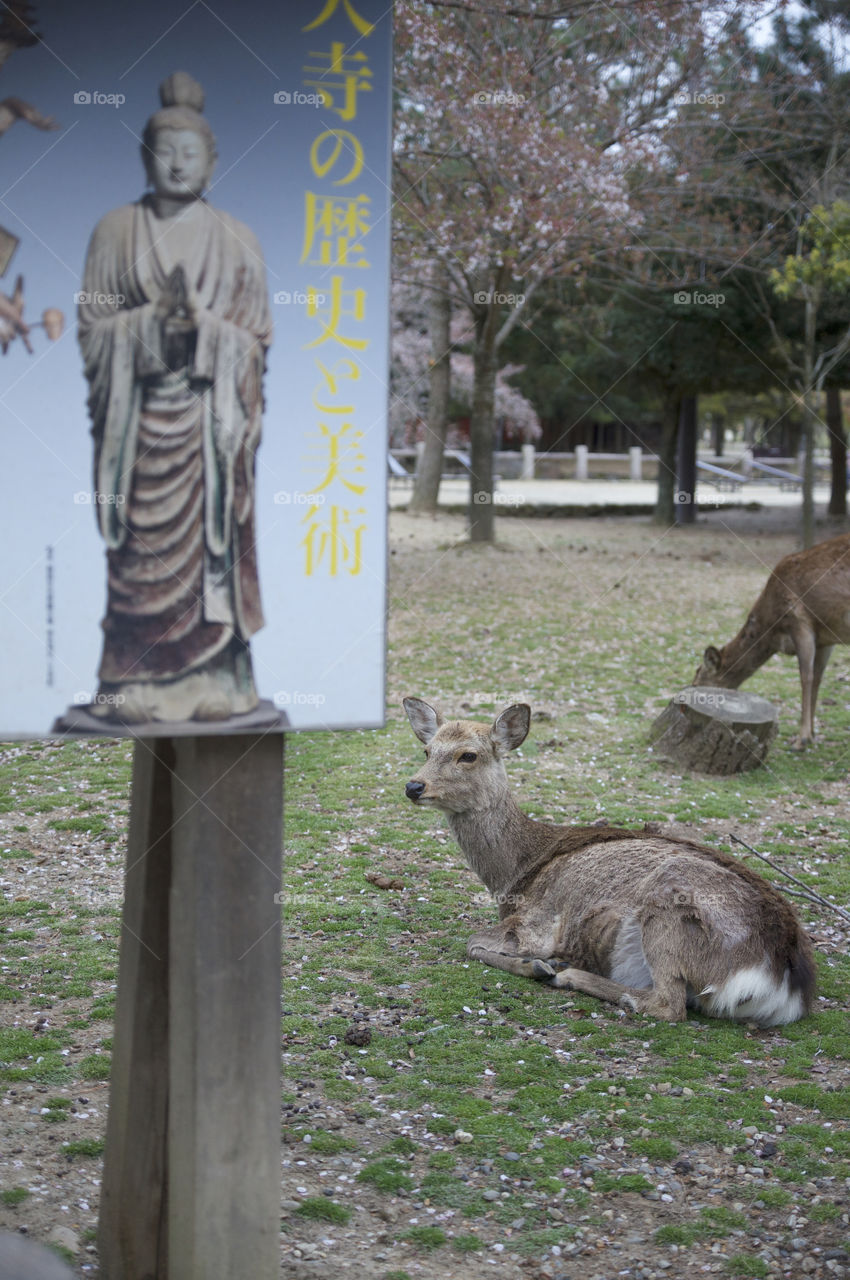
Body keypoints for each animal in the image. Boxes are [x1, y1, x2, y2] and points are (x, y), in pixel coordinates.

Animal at [403, 697, 815, 1026]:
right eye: (427, 751)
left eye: (468, 755)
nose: (413, 786)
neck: (515, 873)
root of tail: (784, 980)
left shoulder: (537, 921)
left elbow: (473, 943)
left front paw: (536, 966)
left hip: (671, 904)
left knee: (668, 1005)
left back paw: (566, 974)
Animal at [694, 531, 850, 748]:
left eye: (697, 683)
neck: (772, 629)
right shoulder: (825, 638)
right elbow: (818, 678)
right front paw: (812, 734)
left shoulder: (799, 622)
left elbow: (806, 677)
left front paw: (801, 740)